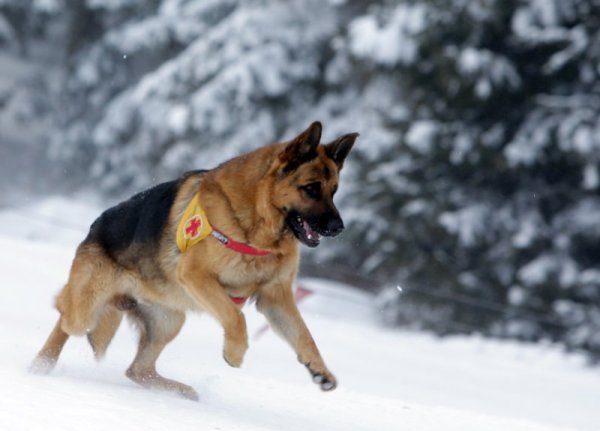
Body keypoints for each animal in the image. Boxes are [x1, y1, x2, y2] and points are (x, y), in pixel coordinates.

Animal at [31, 120, 356, 402]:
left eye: (334, 191)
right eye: (311, 188)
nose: (339, 228)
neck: (256, 228)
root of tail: (94, 228)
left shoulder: (276, 298)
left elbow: (304, 336)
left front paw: (320, 370)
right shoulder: (197, 276)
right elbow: (235, 317)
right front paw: (235, 352)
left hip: (169, 320)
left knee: (138, 370)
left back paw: (179, 391)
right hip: (87, 310)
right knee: (64, 317)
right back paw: (41, 364)